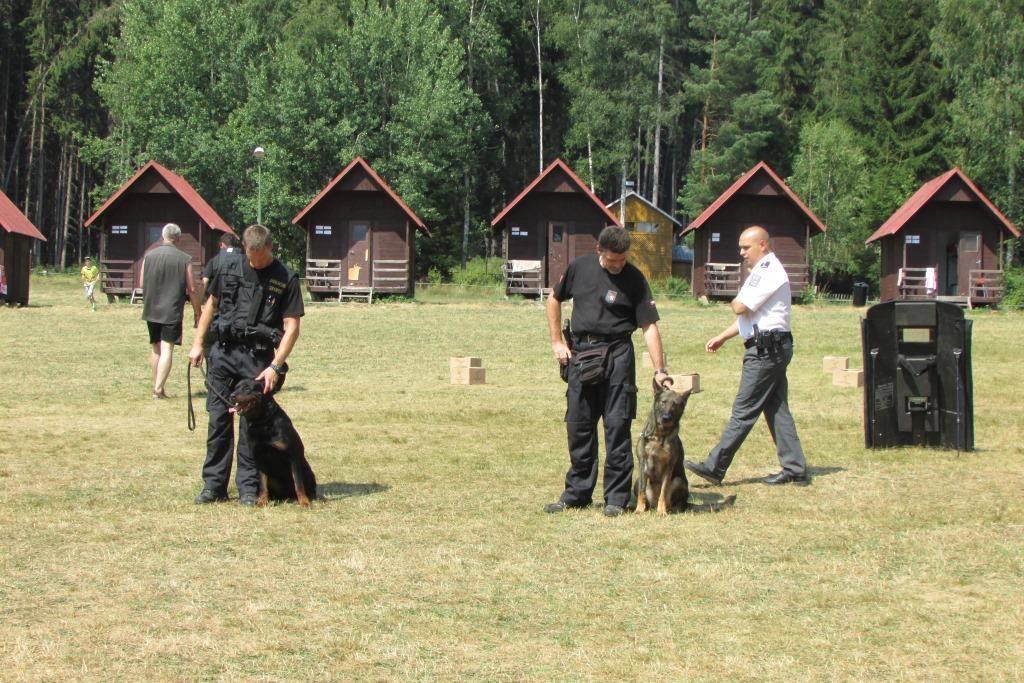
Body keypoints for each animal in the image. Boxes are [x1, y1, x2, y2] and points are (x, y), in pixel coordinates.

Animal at [228, 378, 315, 507]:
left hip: (307, 471)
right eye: (235, 388)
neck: (262, 421)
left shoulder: (293, 456)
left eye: (247, 388)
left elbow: (298, 483)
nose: (231, 396)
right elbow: (263, 484)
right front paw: (262, 501)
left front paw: (304, 502)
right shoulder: (259, 458)